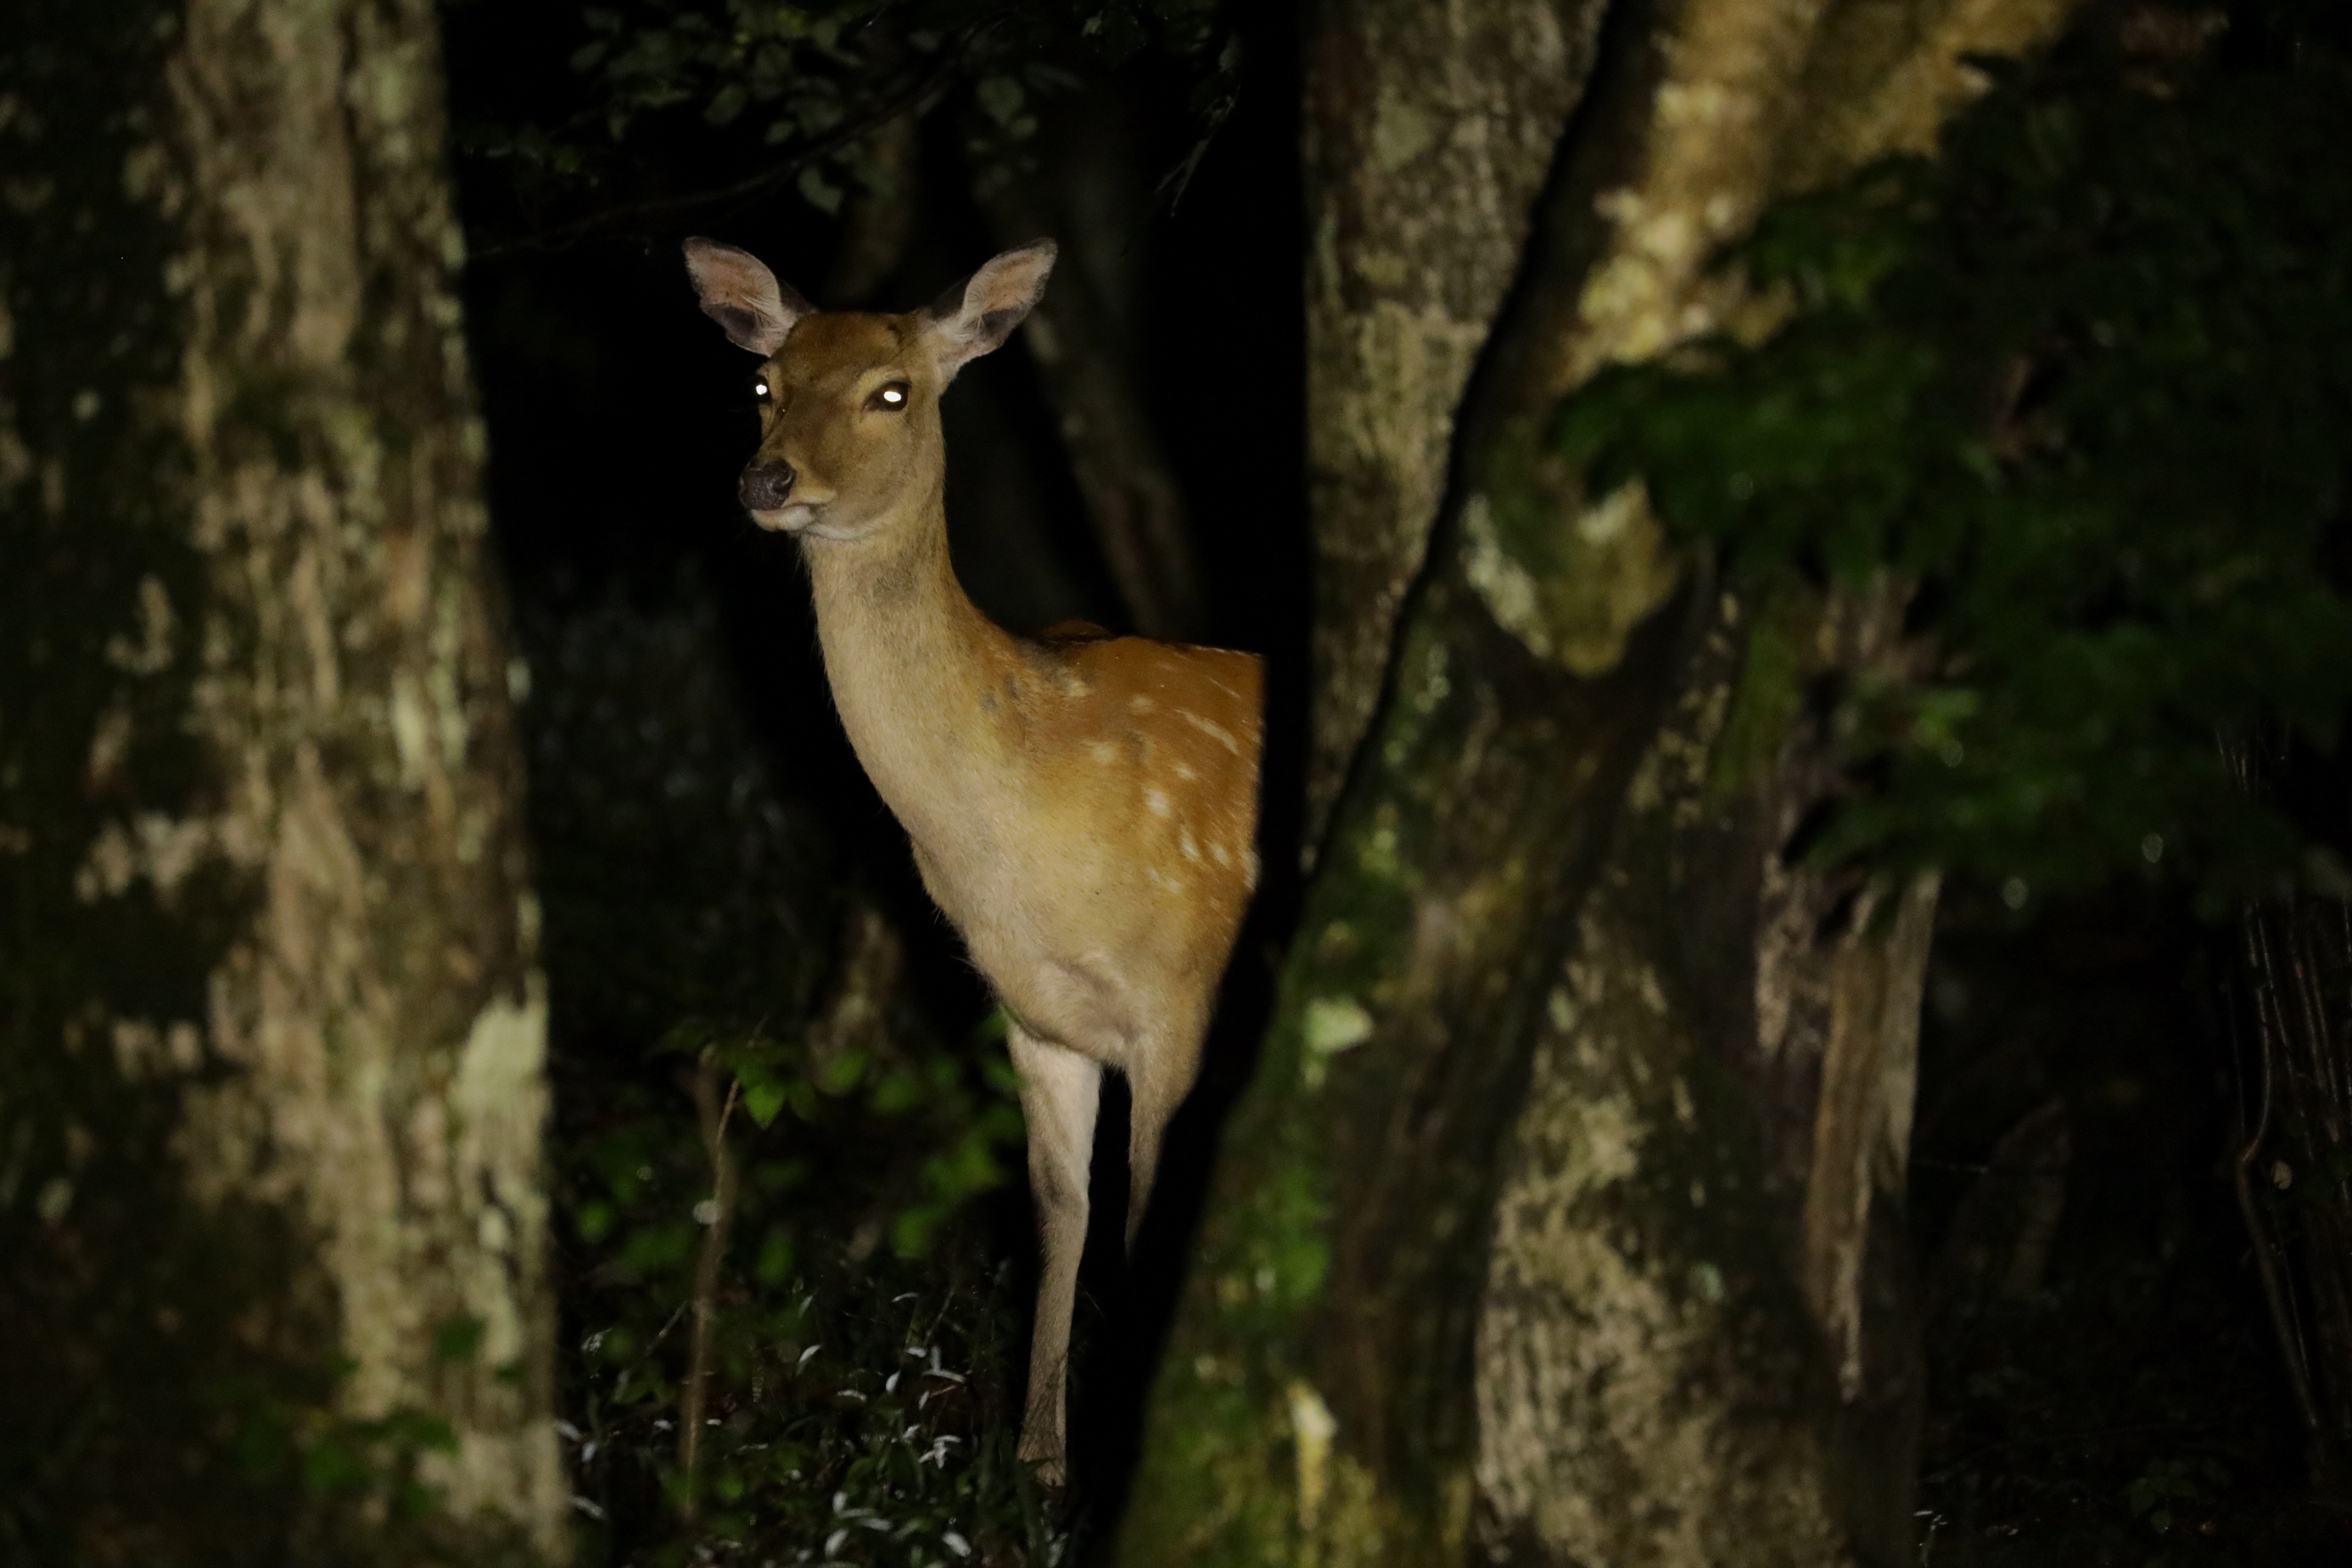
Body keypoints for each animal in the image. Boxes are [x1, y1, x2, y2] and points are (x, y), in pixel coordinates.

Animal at [687, 233, 1270, 1485]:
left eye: (891, 392)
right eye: (762, 383)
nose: (769, 483)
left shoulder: (1181, 987)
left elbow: (1150, 1206)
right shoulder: (1035, 1013)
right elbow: (1059, 1210)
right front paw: (1038, 1468)